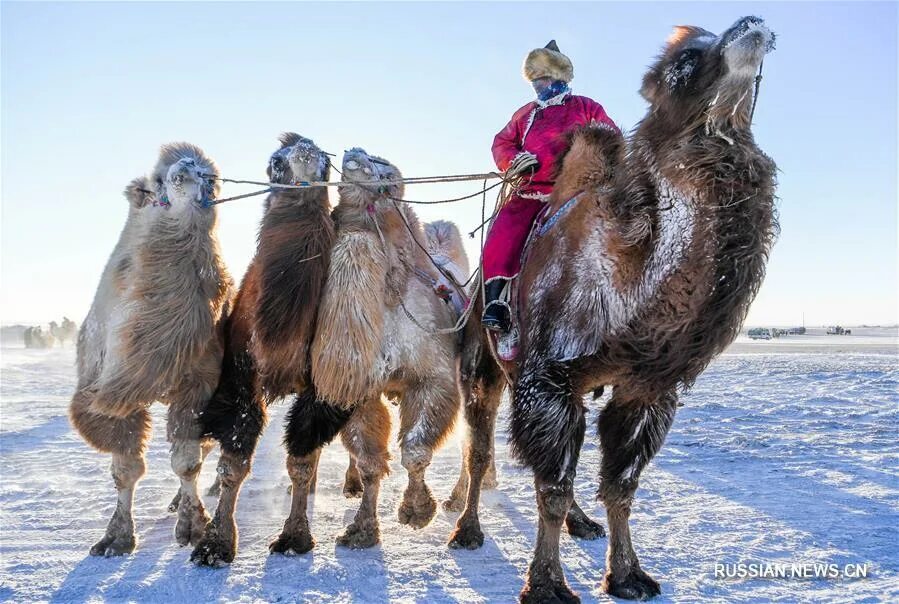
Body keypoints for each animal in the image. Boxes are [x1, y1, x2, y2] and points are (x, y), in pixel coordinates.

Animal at [70, 144, 234, 556]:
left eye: (212, 178)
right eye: (157, 181)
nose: (188, 169)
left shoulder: (198, 386)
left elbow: (187, 462)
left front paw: (192, 525)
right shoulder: (110, 391)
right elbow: (125, 468)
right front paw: (115, 538)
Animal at [268, 149, 472, 556]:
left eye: (383, 163)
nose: (355, 153)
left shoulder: (434, 377)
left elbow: (415, 449)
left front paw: (416, 510)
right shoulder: (360, 391)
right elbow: (369, 461)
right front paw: (361, 529)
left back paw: (460, 502)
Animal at [458, 16, 780, 600]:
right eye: (685, 62)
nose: (751, 24)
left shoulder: (646, 388)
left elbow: (621, 486)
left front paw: (629, 574)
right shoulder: (546, 377)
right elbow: (552, 487)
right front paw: (546, 585)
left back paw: (582, 524)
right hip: (482, 361)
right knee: (480, 448)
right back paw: (466, 530)